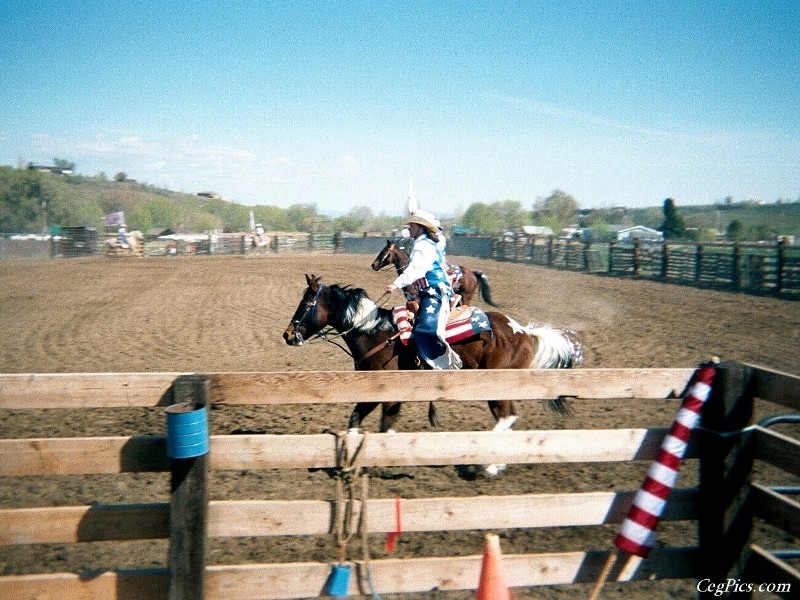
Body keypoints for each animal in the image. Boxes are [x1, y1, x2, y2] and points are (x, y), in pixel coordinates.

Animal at [284, 274, 584, 476]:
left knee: (506, 418)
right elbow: (363, 421)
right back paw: (497, 463)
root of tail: (523, 331)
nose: (288, 335)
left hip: (496, 388)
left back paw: (486, 465)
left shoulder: (386, 394)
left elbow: (379, 424)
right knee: (509, 417)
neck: (375, 333)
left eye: (307, 303)